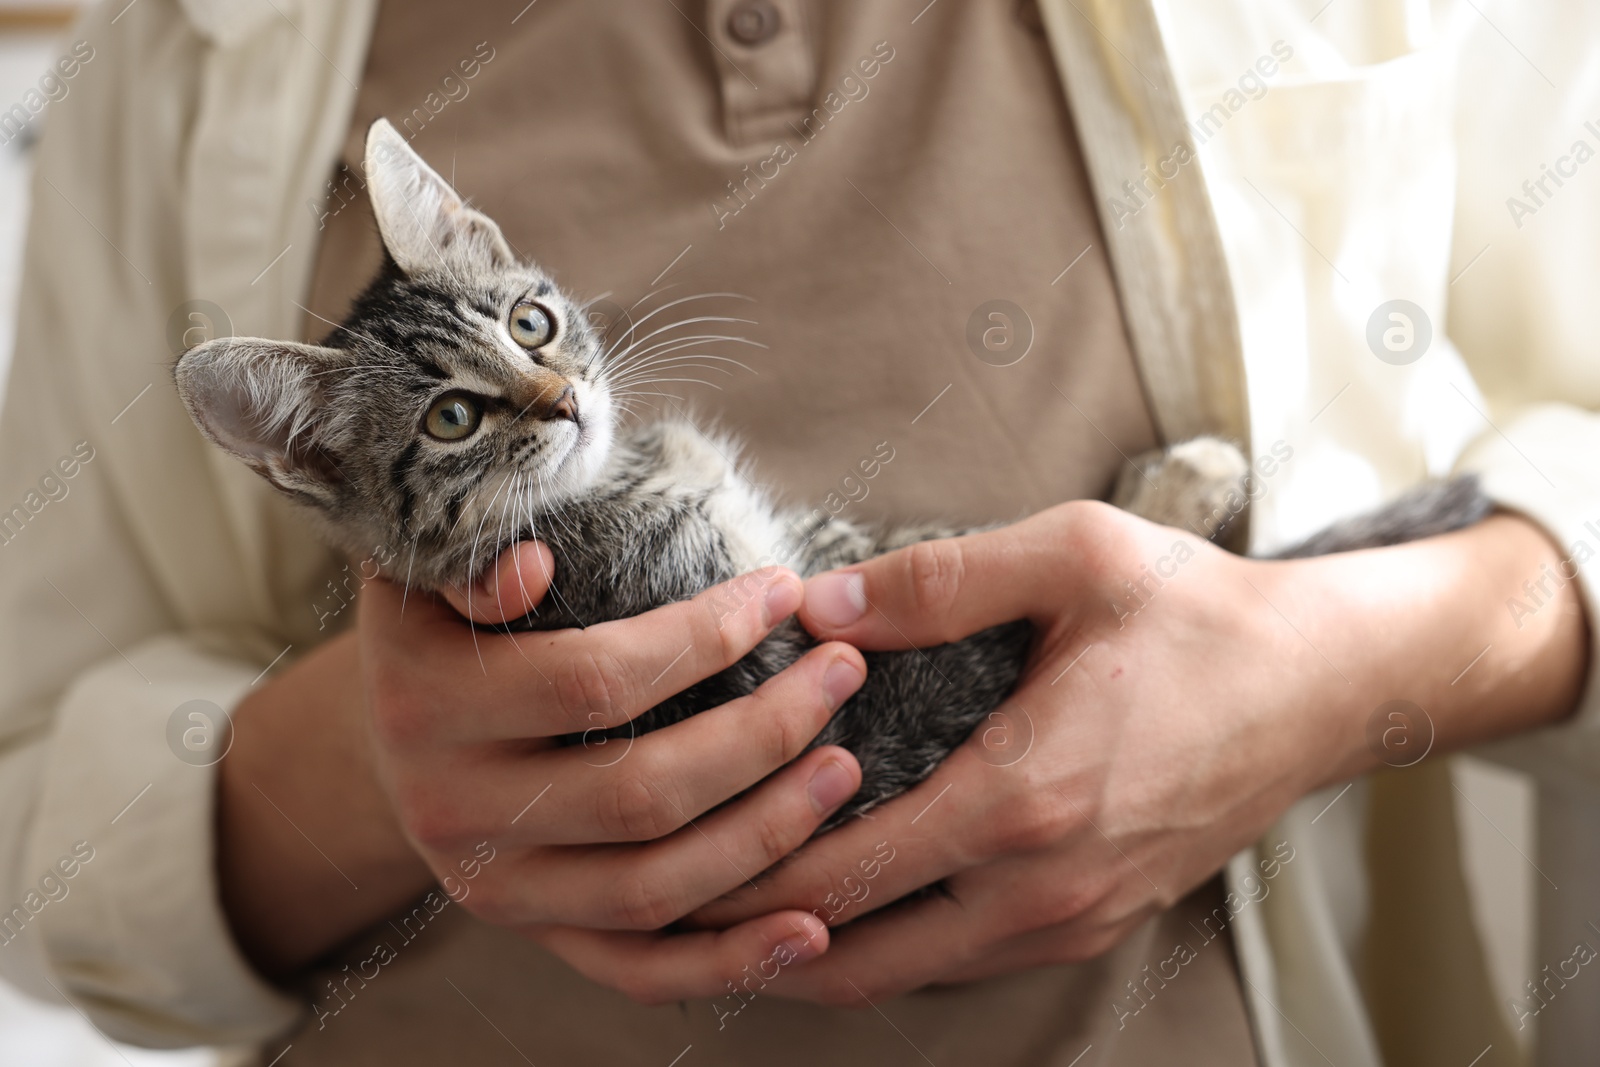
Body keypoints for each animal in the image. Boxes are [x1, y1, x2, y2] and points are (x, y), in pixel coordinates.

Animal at [172, 123, 1484, 825]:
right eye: (452, 417)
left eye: (531, 324)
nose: (565, 402)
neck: (609, 486)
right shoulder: (795, 660)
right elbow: (953, 556)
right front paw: (1173, 493)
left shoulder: (805, 549)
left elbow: (894, 540)